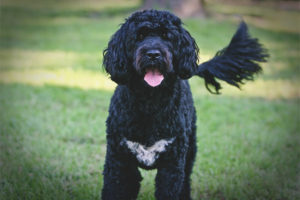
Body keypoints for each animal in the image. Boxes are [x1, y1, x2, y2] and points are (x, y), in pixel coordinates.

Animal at [101, 9, 268, 200]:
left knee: (185, 182)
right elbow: (115, 189)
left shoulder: (172, 165)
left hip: (189, 151)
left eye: (167, 36)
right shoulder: (119, 162)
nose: (153, 54)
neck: (150, 102)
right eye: (139, 36)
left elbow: (172, 188)